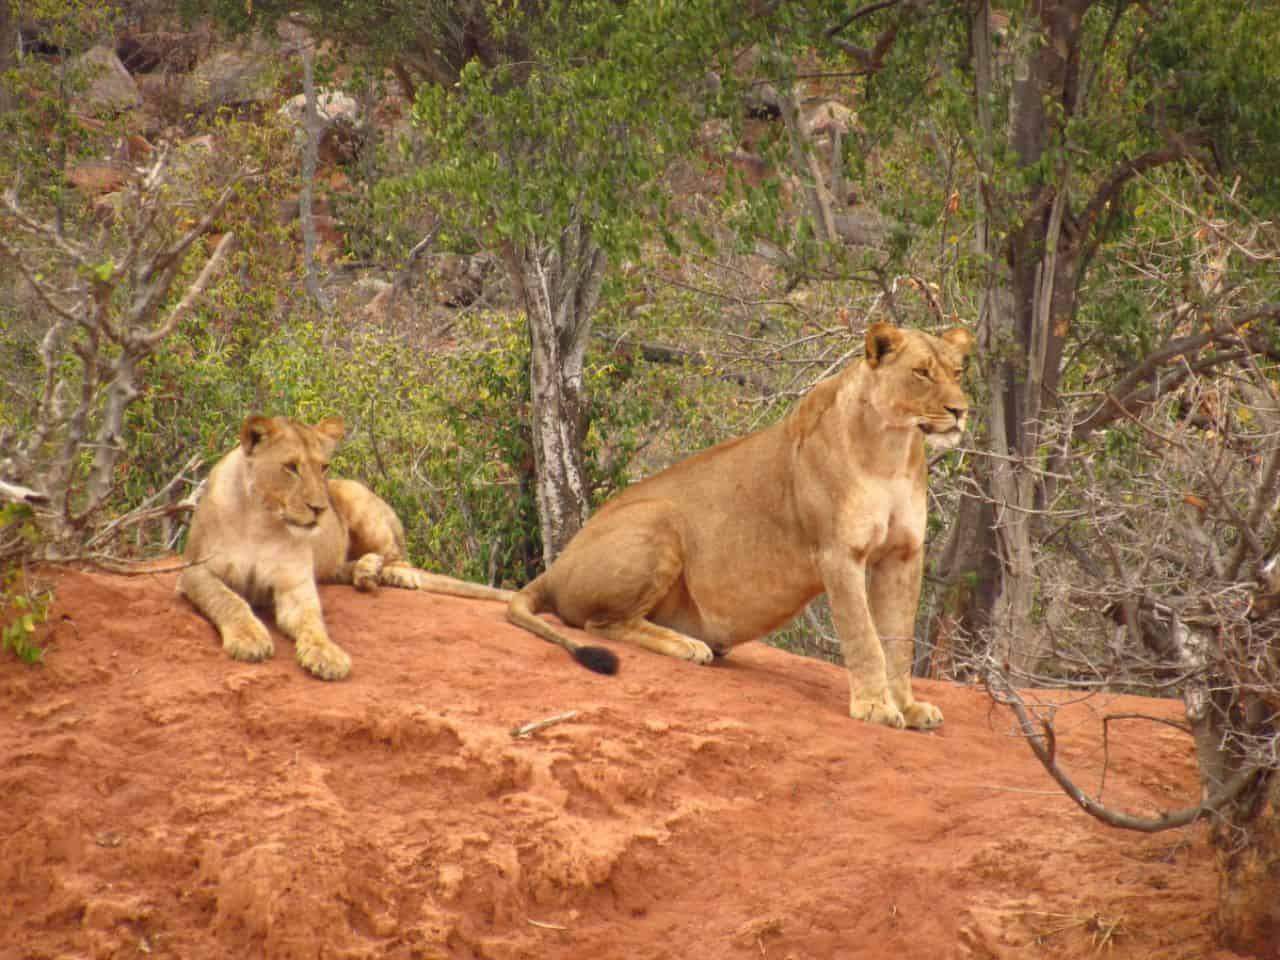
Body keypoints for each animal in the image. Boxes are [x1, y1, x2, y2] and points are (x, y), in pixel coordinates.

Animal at [179, 414, 511, 680]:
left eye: (323, 467)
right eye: (291, 467)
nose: (319, 508)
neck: (262, 522)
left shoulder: (295, 585)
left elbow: (313, 621)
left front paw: (327, 655)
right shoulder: (193, 571)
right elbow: (227, 600)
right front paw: (249, 639)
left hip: (356, 495)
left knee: (399, 556)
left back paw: (394, 574)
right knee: (339, 568)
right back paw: (366, 571)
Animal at [507, 321, 974, 729]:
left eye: (957, 373)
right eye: (921, 373)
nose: (961, 411)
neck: (892, 450)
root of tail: (556, 568)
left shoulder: (902, 556)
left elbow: (899, 642)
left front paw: (908, 708)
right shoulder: (839, 553)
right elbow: (865, 638)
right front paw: (874, 706)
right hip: (659, 517)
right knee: (601, 624)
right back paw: (686, 645)